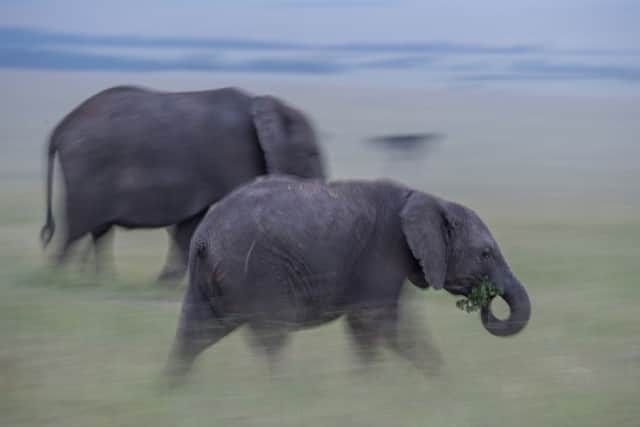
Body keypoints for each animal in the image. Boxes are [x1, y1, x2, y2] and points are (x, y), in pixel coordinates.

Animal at [39, 86, 325, 281]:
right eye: (312, 154)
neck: (264, 102)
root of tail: (59, 129)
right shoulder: (235, 157)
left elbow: (189, 226)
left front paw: (166, 284)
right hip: (87, 171)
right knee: (76, 229)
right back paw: (58, 278)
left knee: (98, 232)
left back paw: (102, 280)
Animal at [166, 175, 531, 380]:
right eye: (486, 253)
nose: (486, 299)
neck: (425, 197)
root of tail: (204, 237)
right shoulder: (384, 250)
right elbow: (378, 324)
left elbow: (383, 325)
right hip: (256, 273)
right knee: (272, 336)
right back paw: (282, 392)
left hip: (209, 277)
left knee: (193, 334)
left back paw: (171, 394)